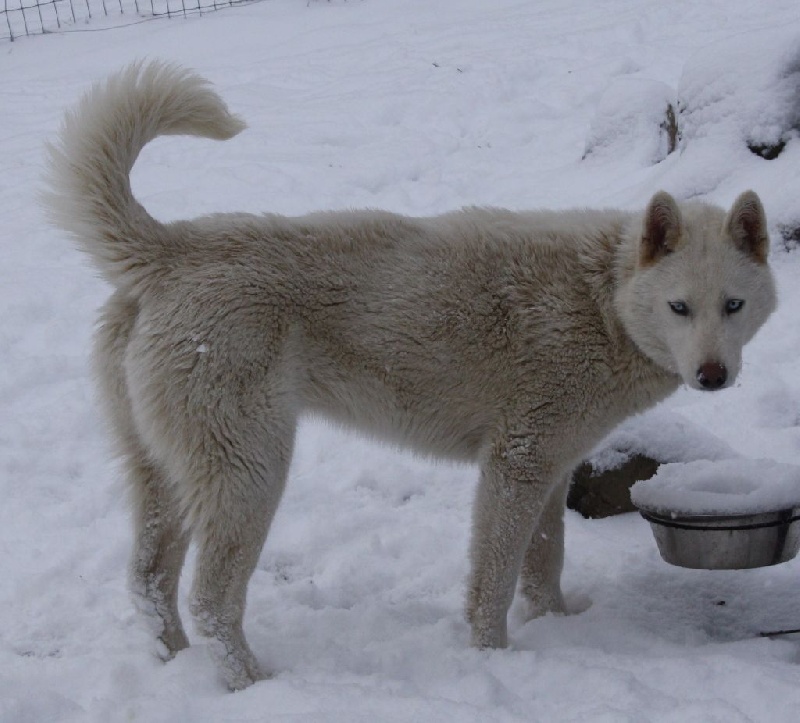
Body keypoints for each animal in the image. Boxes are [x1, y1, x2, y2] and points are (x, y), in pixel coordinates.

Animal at [43, 62, 776, 692]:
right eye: (680, 307)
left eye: (732, 306)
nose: (713, 375)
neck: (602, 300)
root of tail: (169, 251)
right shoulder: (516, 466)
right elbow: (494, 581)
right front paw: (494, 656)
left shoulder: (551, 471)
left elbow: (545, 564)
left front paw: (559, 626)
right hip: (251, 473)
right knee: (212, 599)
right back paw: (251, 684)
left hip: (164, 474)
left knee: (148, 583)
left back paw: (175, 667)